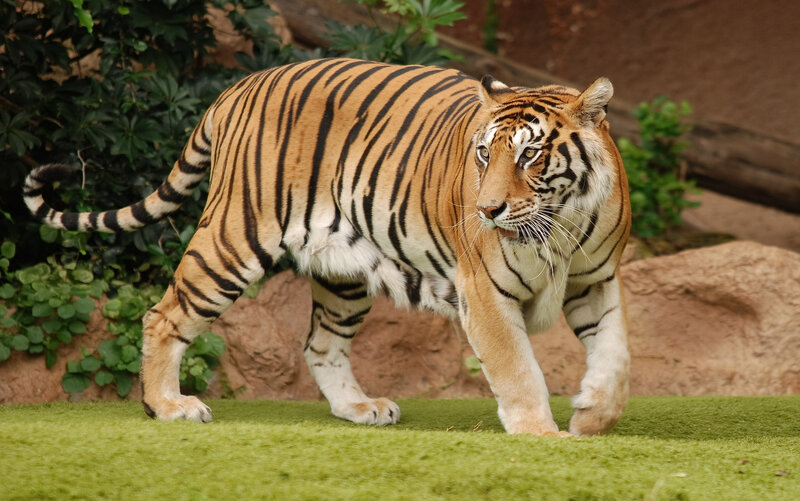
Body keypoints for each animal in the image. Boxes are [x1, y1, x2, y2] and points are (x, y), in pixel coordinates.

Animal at [24, 57, 631, 436]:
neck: (563, 224)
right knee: (163, 315)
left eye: (529, 155)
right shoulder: (484, 292)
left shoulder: (595, 283)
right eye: (484, 154)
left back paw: (360, 408)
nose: (486, 211)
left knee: (320, 344)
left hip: (345, 272)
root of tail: (239, 86)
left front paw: (590, 417)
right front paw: (542, 435)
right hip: (234, 238)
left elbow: (617, 360)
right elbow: (518, 369)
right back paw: (169, 407)